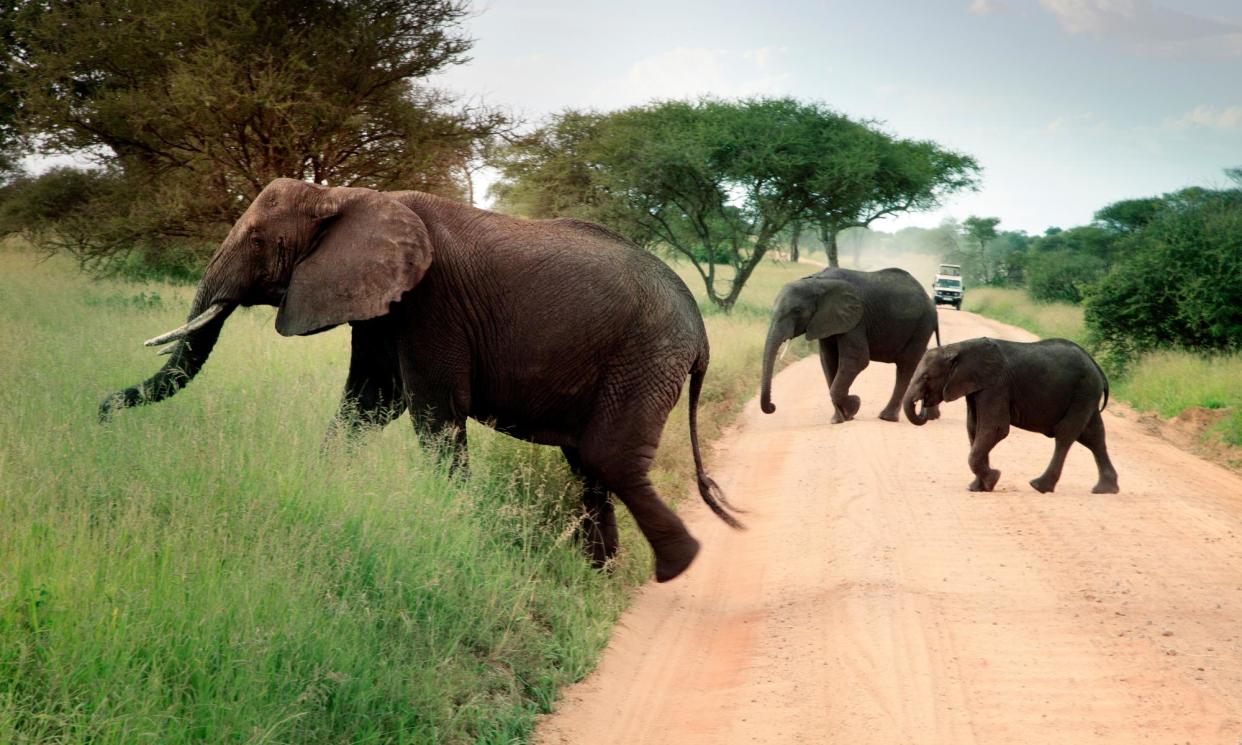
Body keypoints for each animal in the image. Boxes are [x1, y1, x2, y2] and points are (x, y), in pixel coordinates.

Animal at [99, 176, 735, 581]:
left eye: (257, 240)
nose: (100, 409)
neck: (345, 195)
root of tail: (702, 333)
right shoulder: (382, 303)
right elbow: (368, 404)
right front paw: (326, 489)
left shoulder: (433, 303)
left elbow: (433, 414)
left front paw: (461, 533)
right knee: (589, 467)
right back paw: (598, 575)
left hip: (646, 357)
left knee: (607, 459)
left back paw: (677, 567)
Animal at [755, 264, 938, 422]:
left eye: (797, 311)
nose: (772, 406)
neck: (816, 282)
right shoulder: (826, 321)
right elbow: (828, 361)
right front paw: (840, 419)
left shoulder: (856, 319)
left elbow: (857, 359)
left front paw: (854, 405)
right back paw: (931, 416)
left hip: (921, 325)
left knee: (905, 366)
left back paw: (887, 418)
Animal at [899, 337, 1122, 494]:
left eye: (926, 377)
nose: (922, 403)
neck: (957, 348)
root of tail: (1097, 367)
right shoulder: (976, 387)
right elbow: (974, 428)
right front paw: (978, 487)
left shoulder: (996, 385)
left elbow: (994, 428)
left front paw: (992, 479)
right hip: (1085, 396)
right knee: (1093, 437)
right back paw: (1105, 490)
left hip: (1083, 392)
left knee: (1066, 434)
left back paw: (1039, 486)